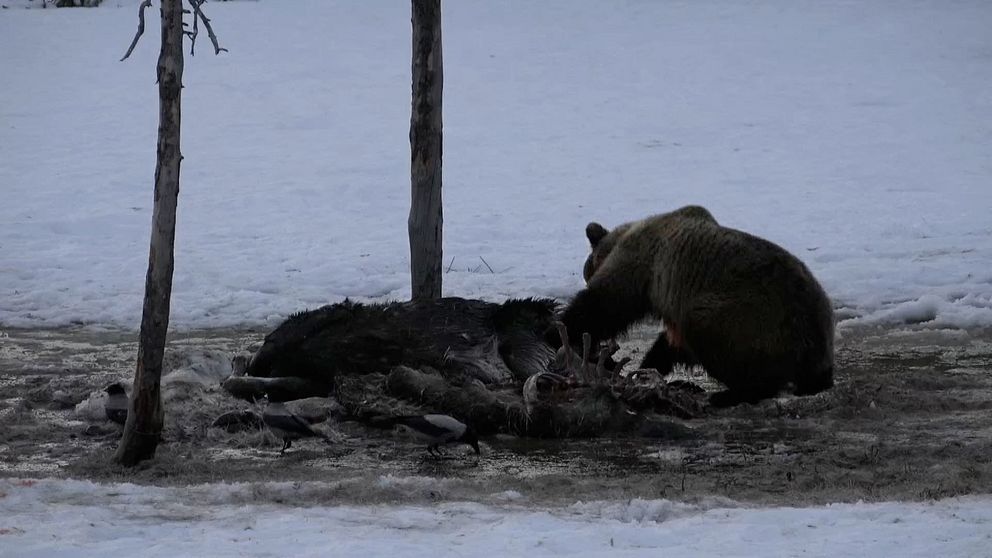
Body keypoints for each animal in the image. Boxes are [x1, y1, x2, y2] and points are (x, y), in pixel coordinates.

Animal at [560, 206, 832, 406]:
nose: (585, 275)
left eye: (586, 270)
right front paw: (649, 365)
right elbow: (674, 343)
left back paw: (732, 394)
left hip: (749, 315)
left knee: (717, 337)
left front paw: (561, 327)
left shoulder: (642, 263)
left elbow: (605, 304)